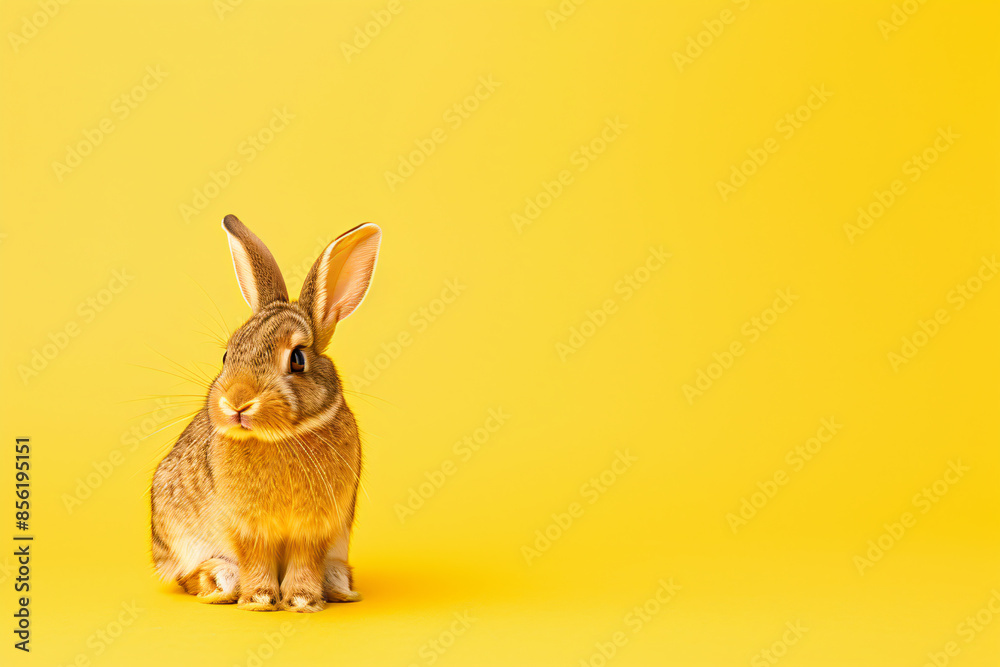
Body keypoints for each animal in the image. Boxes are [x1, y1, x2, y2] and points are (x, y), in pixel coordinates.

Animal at [150, 214, 381, 612]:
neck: (280, 439)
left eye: (298, 359)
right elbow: (255, 558)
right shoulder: (246, 528)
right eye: (227, 355)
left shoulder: (315, 530)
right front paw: (258, 600)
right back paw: (218, 583)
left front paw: (302, 601)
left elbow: (306, 560)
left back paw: (339, 588)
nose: (236, 402)